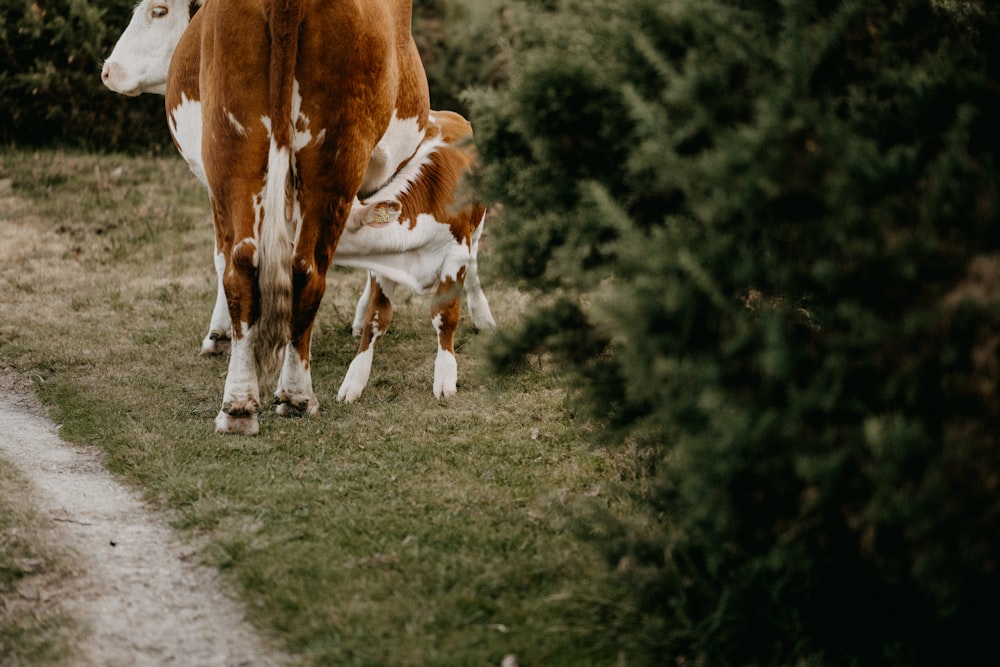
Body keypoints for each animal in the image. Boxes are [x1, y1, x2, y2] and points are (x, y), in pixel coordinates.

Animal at [104, 0, 496, 428]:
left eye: (157, 11)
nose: (107, 70)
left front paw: (219, 336)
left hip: (241, 151)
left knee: (257, 266)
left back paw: (258, 398)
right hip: (323, 155)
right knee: (297, 269)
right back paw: (275, 395)